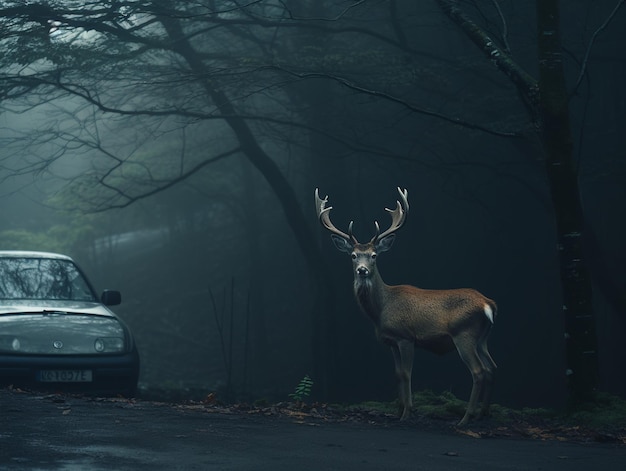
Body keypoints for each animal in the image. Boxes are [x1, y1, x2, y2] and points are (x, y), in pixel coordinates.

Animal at [314, 188, 494, 428]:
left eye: (374, 255)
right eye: (353, 255)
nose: (362, 270)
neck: (381, 310)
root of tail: (488, 304)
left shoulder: (406, 336)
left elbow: (408, 373)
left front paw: (408, 413)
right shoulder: (391, 340)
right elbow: (398, 374)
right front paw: (398, 410)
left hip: (464, 333)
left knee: (479, 371)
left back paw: (465, 419)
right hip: (482, 337)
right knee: (492, 367)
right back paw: (483, 413)